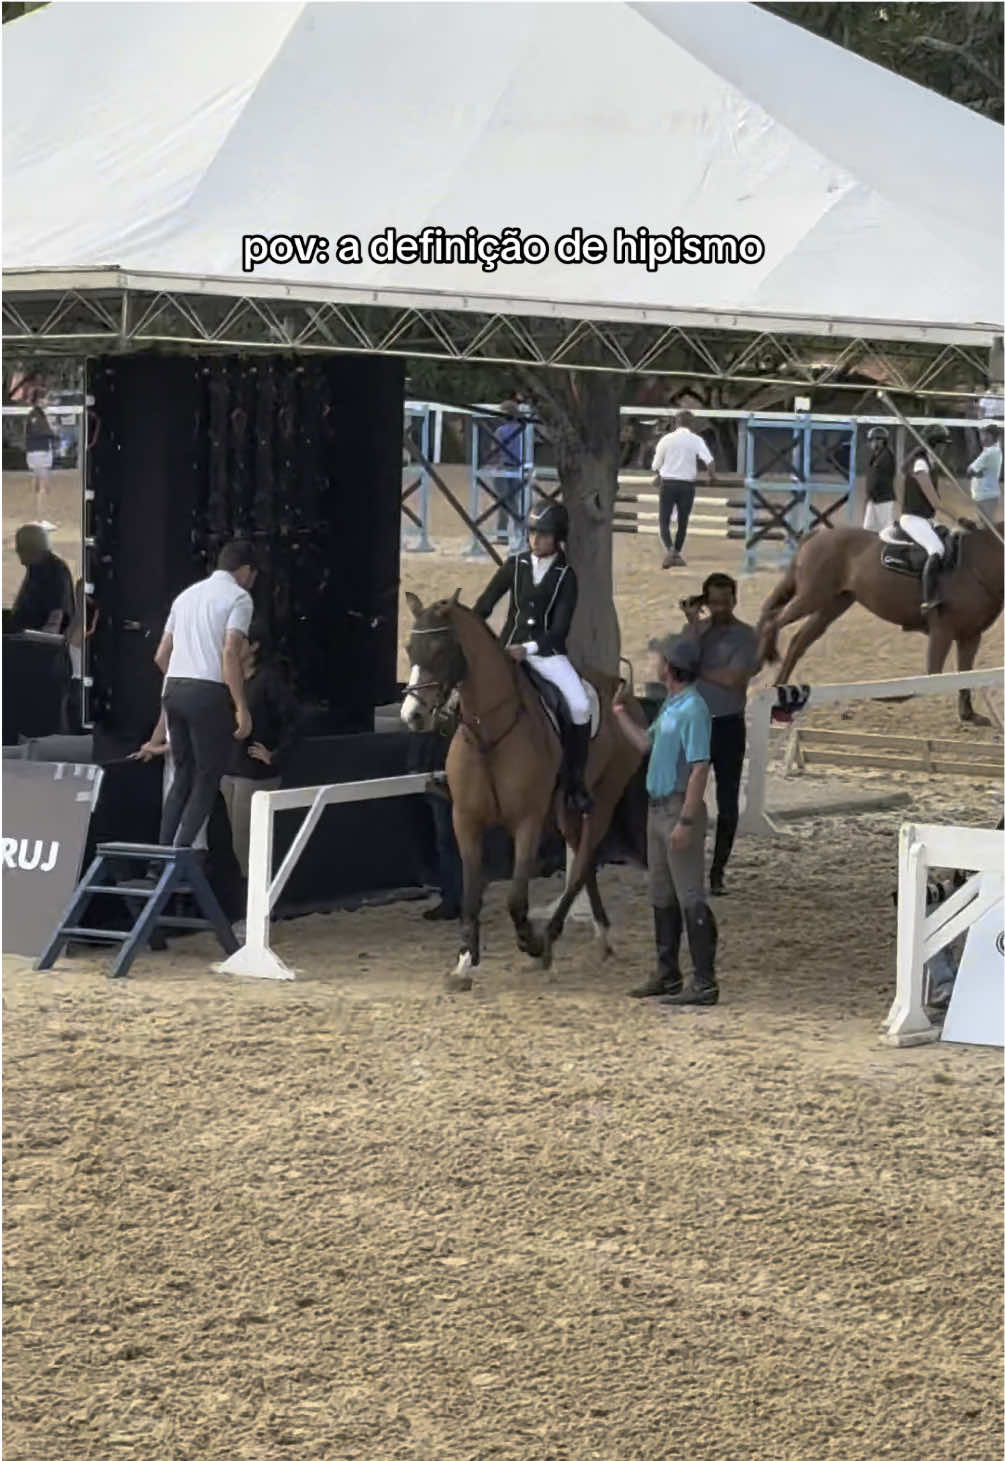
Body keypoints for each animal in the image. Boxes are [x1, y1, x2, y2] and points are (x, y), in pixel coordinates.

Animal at [401, 590, 648, 991]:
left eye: (439, 650)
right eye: (409, 648)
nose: (413, 716)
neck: (488, 733)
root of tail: (622, 690)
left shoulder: (527, 822)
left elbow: (516, 898)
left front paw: (530, 941)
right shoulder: (465, 821)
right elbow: (471, 894)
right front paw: (464, 961)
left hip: (604, 798)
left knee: (581, 864)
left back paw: (551, 938)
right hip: (565, 810)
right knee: (584, 862)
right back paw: (600, 935)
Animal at [755, 523, 1004, 724]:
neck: (977, 564)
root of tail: (819, 535)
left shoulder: (970, 636)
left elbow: (965, 674)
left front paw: (968, 715)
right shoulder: (943, 630)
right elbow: (933, 675)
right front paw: (893, 696)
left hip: (832, 605)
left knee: (798, 641)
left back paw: (779, 696)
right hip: (812, 597)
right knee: (773, 621)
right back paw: (766, 658)